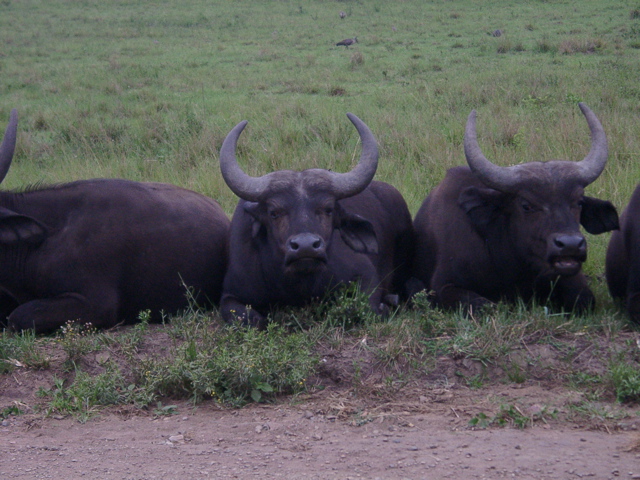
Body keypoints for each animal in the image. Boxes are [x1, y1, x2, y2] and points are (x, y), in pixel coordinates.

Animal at [218, 113, 414, 328]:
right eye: (274, 212)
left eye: (328, 209)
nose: (306, 247)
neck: (296, 285)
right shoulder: (230, 295)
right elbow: (250, 319)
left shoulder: (367, 276)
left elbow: (366, 308)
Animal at [413, 103, 619, 314]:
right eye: (526, 205)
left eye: (578, 202)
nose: (570, 245)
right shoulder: (443, 287)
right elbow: (485, 306)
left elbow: (584, 299)